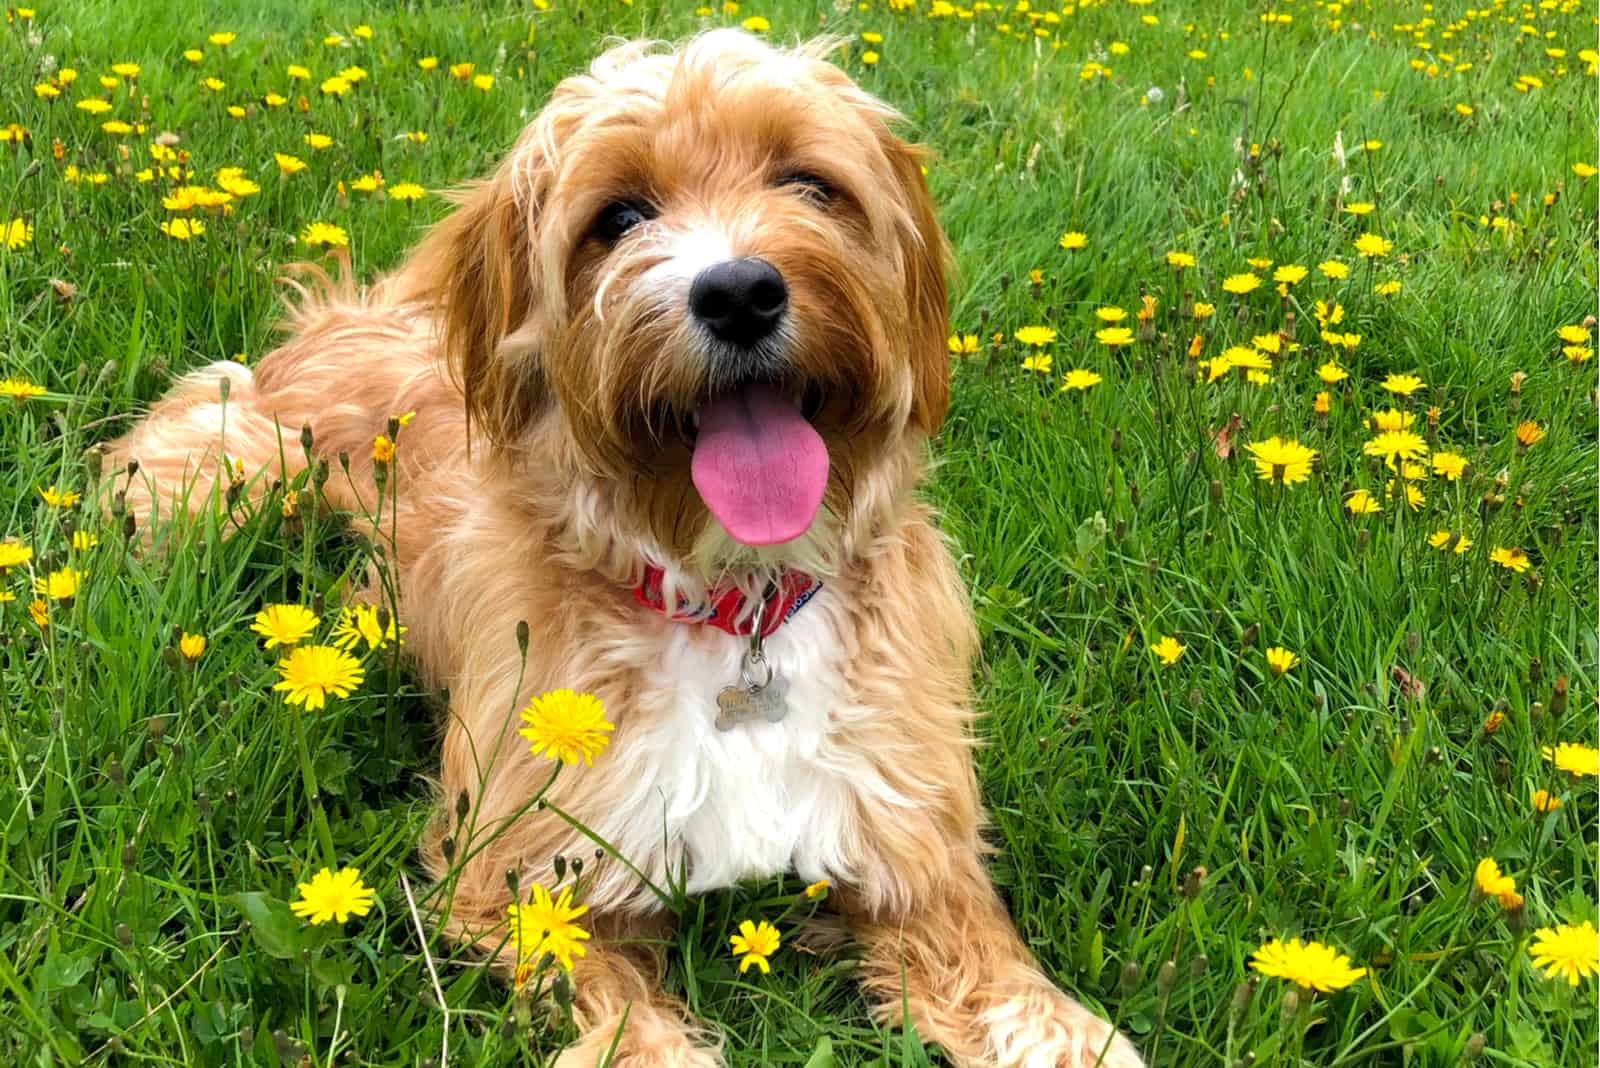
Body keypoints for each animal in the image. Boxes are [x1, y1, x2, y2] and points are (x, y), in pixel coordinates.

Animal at [106, 31, 1145, 1068]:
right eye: (619, 217)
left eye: (810, 184)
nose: (739, 292)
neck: (734, 602)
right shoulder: (524, 875)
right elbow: (618, 1017)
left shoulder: (913, 846)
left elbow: (1000, 975)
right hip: (224, 479)